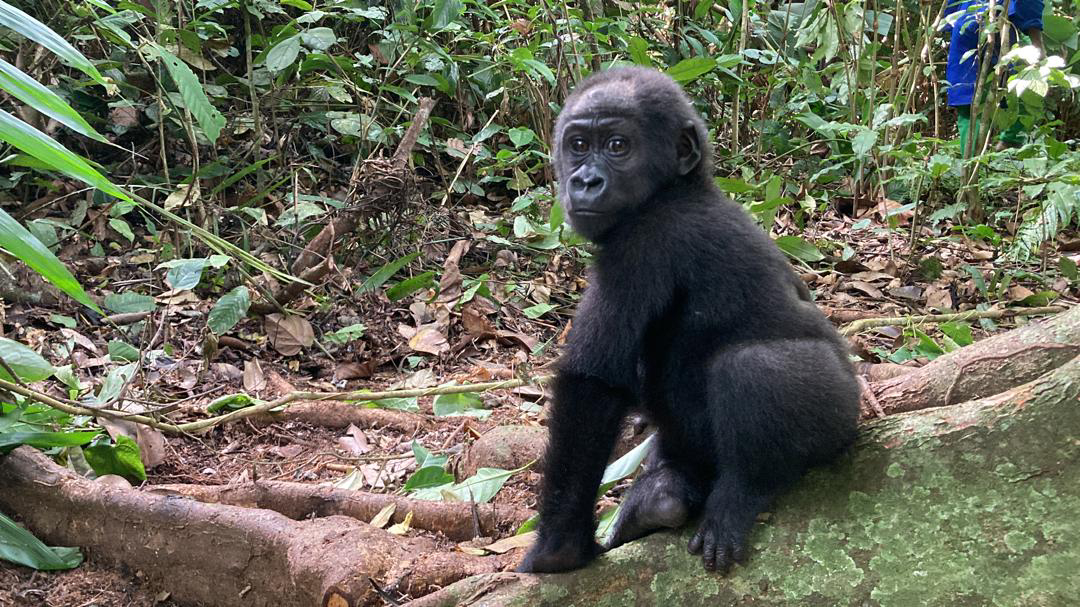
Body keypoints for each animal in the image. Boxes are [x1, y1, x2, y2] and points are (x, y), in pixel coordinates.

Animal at [516, 67, 859, 570]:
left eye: (617, 146)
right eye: (578, 145)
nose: (585, 181)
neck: (681, 187)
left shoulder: (642, 243)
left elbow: (593, 383)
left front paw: (558, 549)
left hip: (841, 415)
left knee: (753, 367)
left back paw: (741, 494)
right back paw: (661, 497)